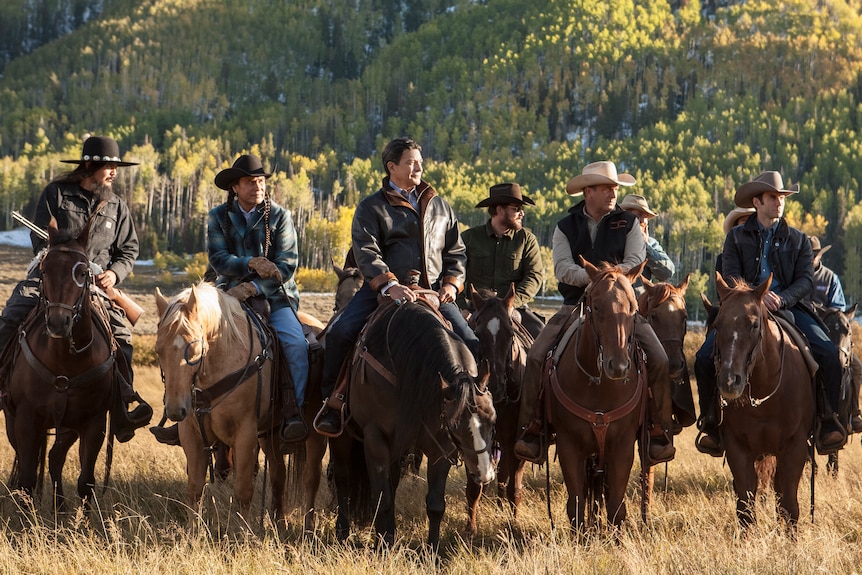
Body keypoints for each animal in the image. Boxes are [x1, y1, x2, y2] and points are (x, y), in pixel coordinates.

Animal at [1, 218, 115, 510]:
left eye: (83, 272)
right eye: (44, 270)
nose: (58, 323)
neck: (66, 360)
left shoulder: (93, 422)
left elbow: (86, 481)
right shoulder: (26, 419)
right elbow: (27, 479)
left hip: (68, 427)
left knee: (55, 457)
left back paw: (60, 507)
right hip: (14, 419)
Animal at [330, 300, 496, 552]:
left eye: (493, 419)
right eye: (455, 427)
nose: (484, 474)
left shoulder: (441, 447)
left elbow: (435, 504)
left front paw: (432, 550)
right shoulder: (375, 440)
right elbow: (383, 498)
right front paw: (384, 545)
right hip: (342, 438)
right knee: (342, 479)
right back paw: (342, 531)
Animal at [466, 286, 532, 536]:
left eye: (510, 333)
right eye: (477, 333)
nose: (494, 387)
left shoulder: (516, 441)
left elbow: (514, 485)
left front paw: (513, 523)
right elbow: (474, 487)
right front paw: (471, 528)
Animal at [548, 260, 648, 532]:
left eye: (633, 307)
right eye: (596, 306)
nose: (619, 366)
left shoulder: (623, 447)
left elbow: (616, 506)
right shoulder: (569, 445)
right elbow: (576, 503)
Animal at [708, 272, 816, 532]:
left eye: (754, 324)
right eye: (717, 324)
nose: (729, 381)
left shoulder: (795, 448)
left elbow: (789, 504)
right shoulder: (737, 447)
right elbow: (745, 506)